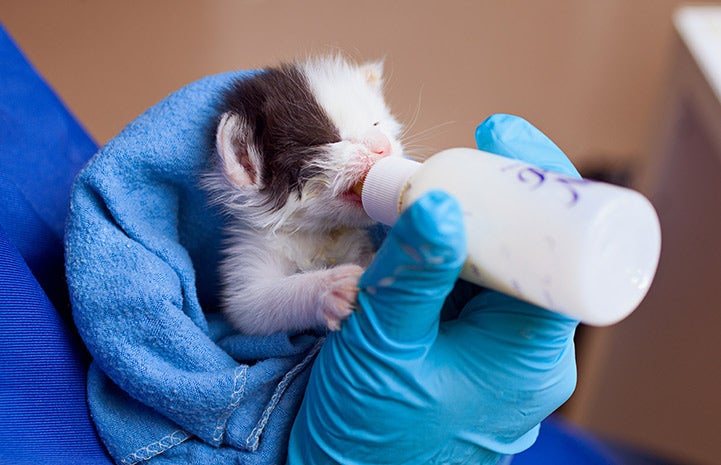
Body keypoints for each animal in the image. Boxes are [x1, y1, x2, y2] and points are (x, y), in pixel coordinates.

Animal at [204, 56, 404, 336]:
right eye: (328, 140)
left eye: (375, 124)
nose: (382, 146)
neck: (320, 232)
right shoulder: (248, 249)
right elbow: (254, 303)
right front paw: (330, 287)